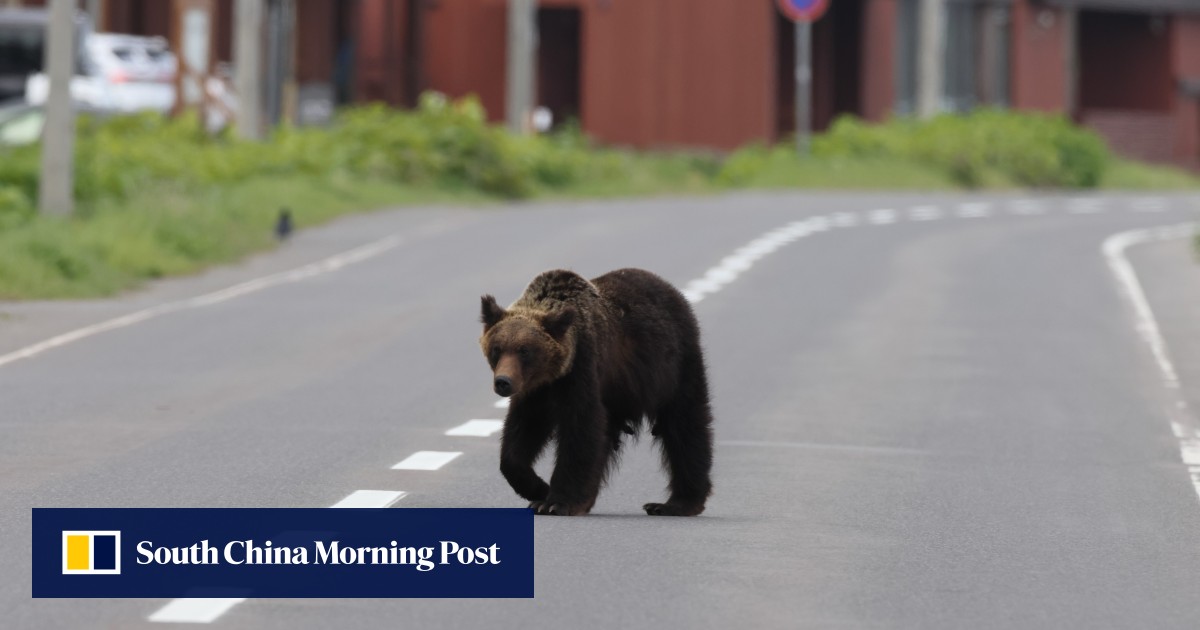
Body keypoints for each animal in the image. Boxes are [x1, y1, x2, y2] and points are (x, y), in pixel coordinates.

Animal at [479, 268, 714, 516]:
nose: (503, 382)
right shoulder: (536, 392)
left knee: (685, 426)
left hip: (673, 367)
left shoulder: (583, 369)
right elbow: (522, 432)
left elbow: (581, 429)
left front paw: (555, 501)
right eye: (497, 349)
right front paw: (537, 489)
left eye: (525, 351)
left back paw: (676, 503)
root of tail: (671, 289)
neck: (553, 375)